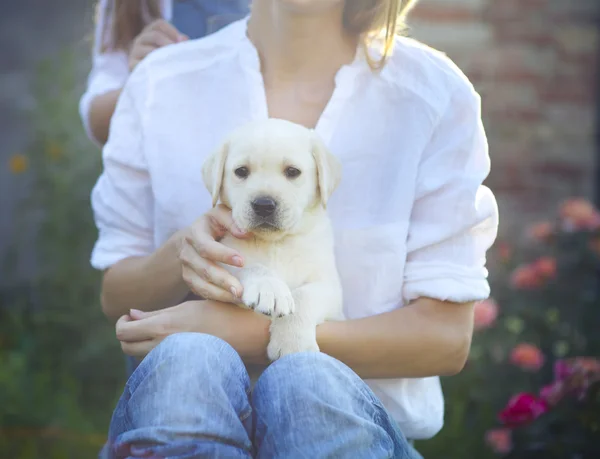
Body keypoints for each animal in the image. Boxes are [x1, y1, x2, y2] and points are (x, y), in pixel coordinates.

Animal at [202, 119, 342, 362]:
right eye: (241, 171)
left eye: (293, 172)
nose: (264, 205)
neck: (276, 243)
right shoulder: (227, 255)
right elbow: (253, 266)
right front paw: (268, 288)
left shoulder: (331, 288)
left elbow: (303, 296)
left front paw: (292, 344)